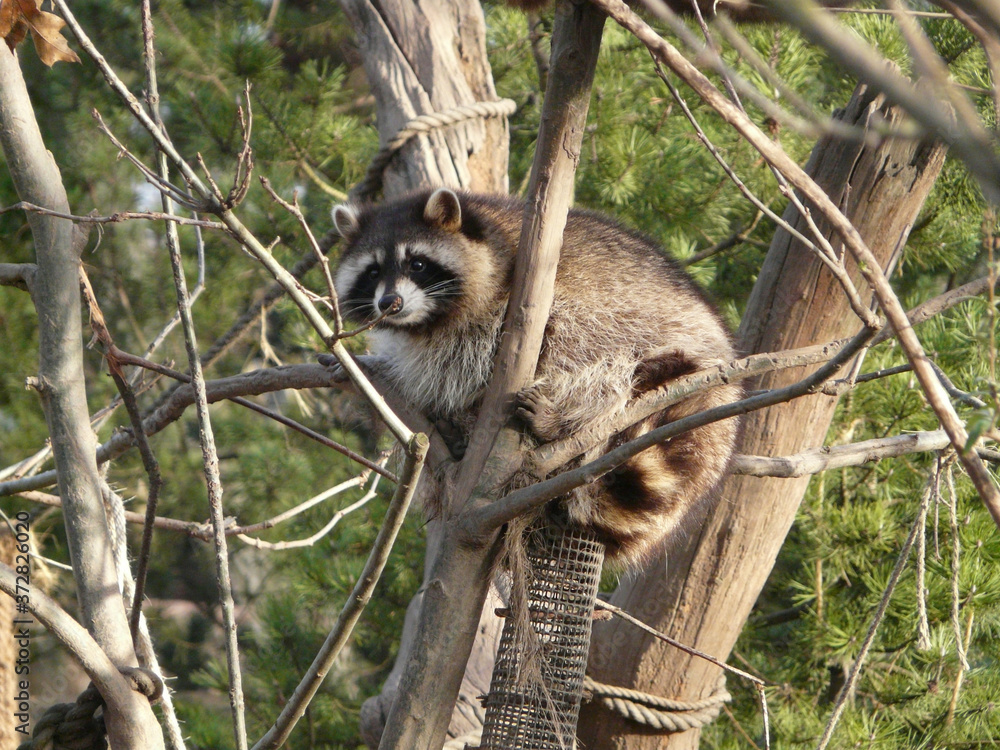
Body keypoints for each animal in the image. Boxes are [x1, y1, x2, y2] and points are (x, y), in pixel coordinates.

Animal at [334, 189, 744, 568]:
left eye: (417, 263)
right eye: (373, 271)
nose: (389, 303)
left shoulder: (506, 298)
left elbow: (468, 359)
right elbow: (425, 370)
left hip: (648, 325)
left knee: (587, 349)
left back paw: (566, 420)